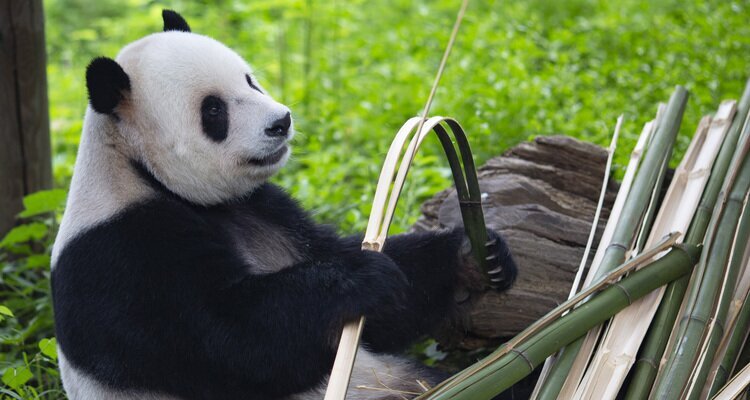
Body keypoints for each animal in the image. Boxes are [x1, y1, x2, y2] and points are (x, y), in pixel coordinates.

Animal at [51, 10, 517, 400]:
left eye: (249, 80)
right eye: (213, 110)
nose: (281, 122)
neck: (142, 174)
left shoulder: (267, 210)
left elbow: (376, 309)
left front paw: (477, 255)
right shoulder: (124, 257)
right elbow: (237, 343)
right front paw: (363, 275)